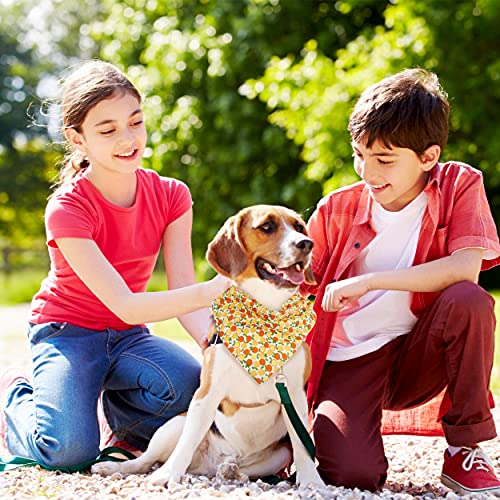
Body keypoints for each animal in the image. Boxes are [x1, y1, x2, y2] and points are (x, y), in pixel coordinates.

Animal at [92, 204, 326, 488]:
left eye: (299, 227)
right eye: (267, 226)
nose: (306, 244)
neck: (265, 313)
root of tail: (206, 465)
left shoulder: (294, 396)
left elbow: (303, 447)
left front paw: (312, 481)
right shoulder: (206, 394)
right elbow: (187, 442)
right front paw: (167, 476)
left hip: (278, 454)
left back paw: (230, 470)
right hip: (173, 425)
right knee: (147, 460)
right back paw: (119, 467)